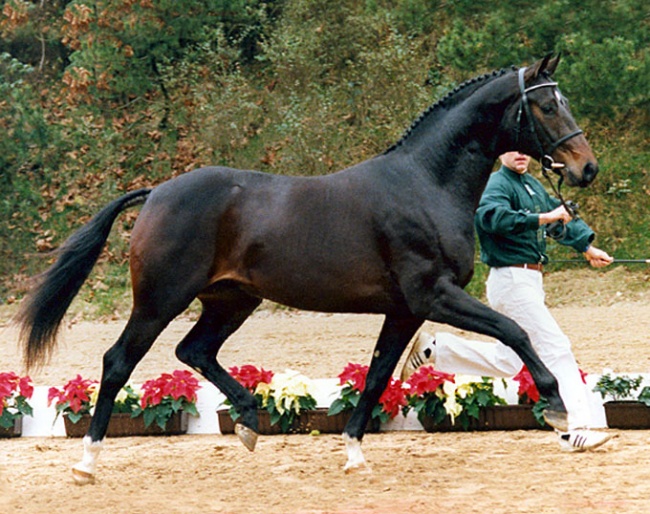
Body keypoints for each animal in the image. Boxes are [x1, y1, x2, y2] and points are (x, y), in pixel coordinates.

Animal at [17, 55, 596, 480]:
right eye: (546, 106)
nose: (586, 168)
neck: (425, 184)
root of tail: (156, 192)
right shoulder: (435, 294)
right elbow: (514, 330)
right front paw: (559, 412)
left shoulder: (406, 310)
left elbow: (379, 373)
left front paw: (354, 452)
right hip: (160, 300)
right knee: (119, 362)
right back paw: (87, 462)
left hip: (232, 300)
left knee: (194, 350)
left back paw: (249, 420)